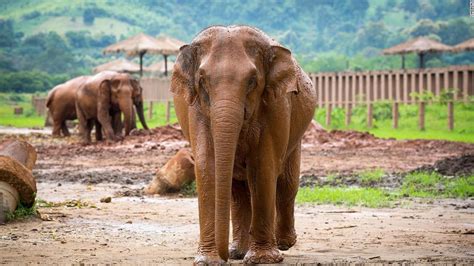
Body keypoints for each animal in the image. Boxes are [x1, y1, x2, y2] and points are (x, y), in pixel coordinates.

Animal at [172, 25, 316, 264]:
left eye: (252, 81)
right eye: (202, 80)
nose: (224, 257)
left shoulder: (275, 105)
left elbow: (263, 167)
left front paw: (263, 259)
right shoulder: (197, 109)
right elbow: (207, 166)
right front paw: (207, 261)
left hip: (297, 135)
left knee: (286, 183)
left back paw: (284, 243)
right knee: (239, 192)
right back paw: (238, 252)